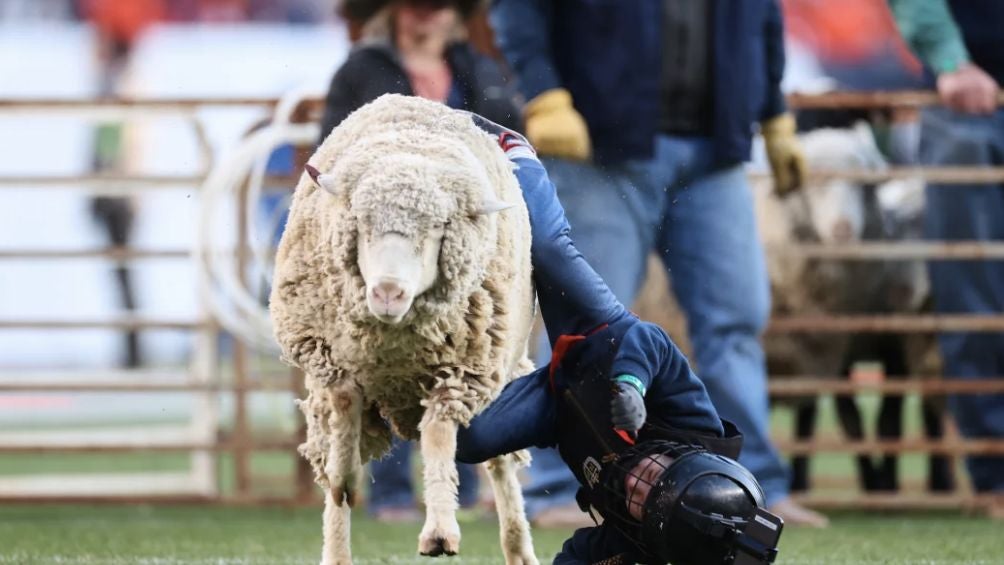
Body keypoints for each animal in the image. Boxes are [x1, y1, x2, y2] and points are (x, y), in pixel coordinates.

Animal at [267, 94, 534, 565]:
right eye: (361, 223)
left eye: (438, 228)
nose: (388, 292)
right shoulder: (323, 352)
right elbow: (344, 405)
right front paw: (346, 477)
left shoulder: (462, 373)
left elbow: (440, 436)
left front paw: (440, 532)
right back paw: (336, 548)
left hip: (501, 374)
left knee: (501, 464)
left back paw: (518, 546)